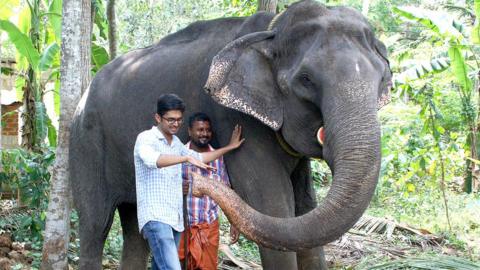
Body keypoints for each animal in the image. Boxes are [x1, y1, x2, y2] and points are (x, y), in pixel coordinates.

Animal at [68, 1, 390, 268]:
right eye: (306, 79)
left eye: (381, 79)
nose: (195, 184)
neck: (272, 30)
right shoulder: (236, 119)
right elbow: (274, 208)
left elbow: (304, 207)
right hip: (85, 142)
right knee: (95, 224)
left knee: (135, 226)